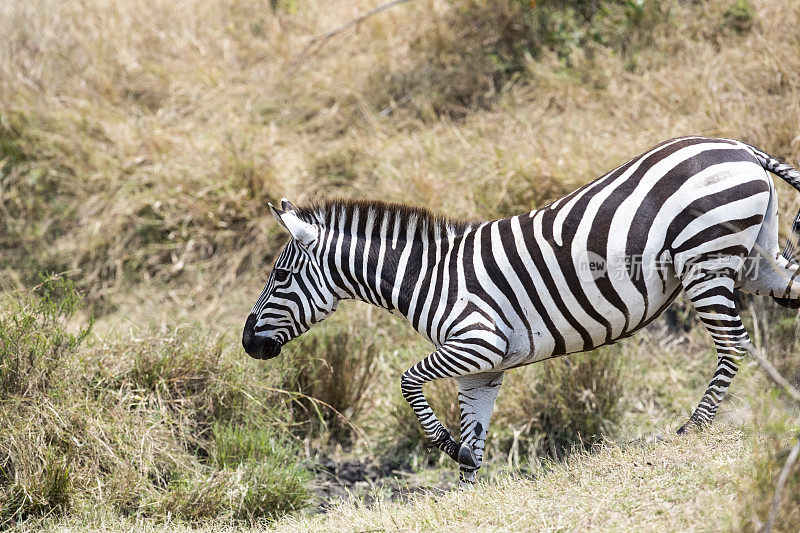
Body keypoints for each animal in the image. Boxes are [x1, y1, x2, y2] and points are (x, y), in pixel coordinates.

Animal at [241, 137, 800, 482]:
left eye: (280, 278)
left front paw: (449, 448)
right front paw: (466, 484)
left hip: (706, 261)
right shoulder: (482, 371)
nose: (247, 342)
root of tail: (738, 146)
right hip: (759, 262)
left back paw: (694, 427)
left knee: (733, 344)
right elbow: (474, 441)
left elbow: (407, 382)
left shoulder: (476, 343)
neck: (430, 279)